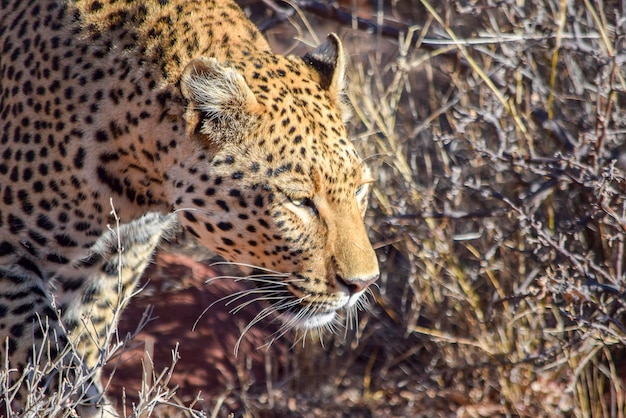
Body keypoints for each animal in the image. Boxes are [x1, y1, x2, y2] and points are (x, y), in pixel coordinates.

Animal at [0, 0, 378, 414]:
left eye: (360, 190)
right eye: (299, 201)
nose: (363, 283)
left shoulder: (117, 255)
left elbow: (81, 338)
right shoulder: (10, 259)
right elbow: (45, 358)